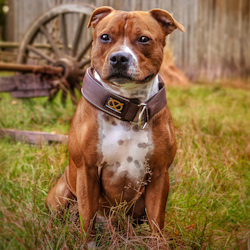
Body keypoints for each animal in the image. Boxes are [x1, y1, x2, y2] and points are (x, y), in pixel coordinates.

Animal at [46, 5, 184, 236]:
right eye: (105, 37)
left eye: (144, 39)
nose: (119, 58)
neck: (127, 107)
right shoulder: (87, 171)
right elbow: (88, 219)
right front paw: (88, 241)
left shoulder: (159, 175)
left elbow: (157, 222)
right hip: (62, 192)